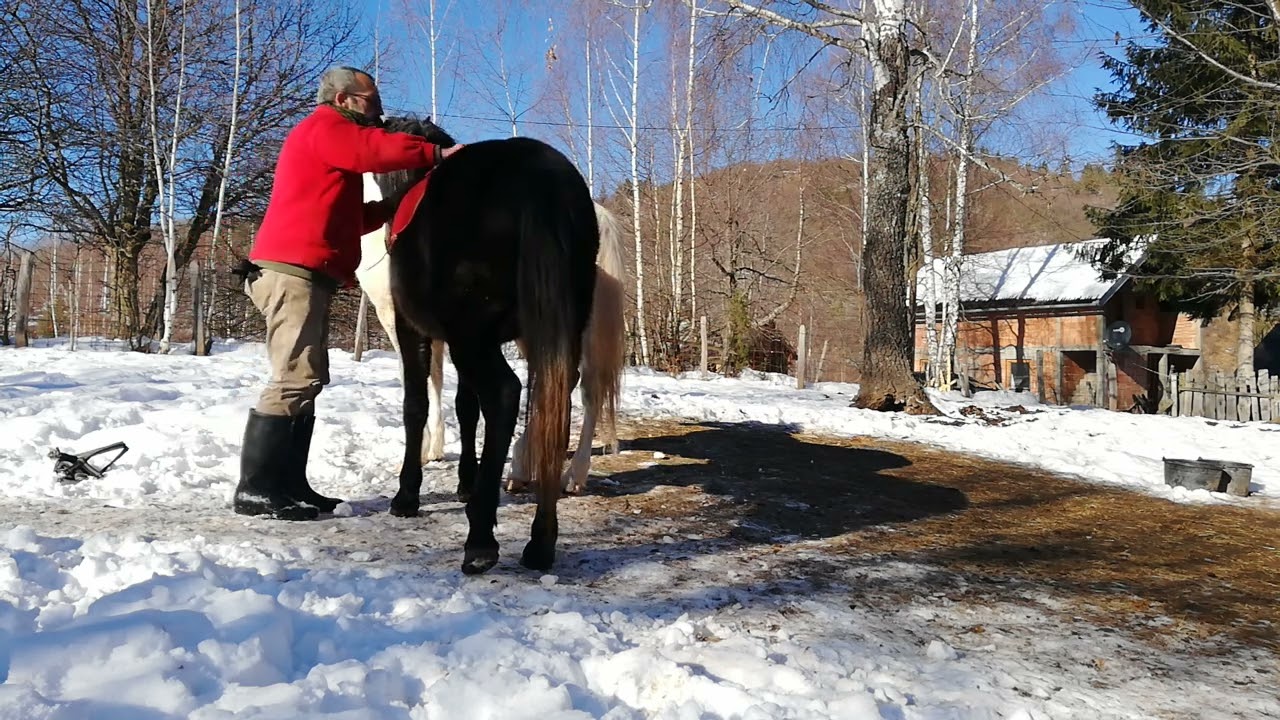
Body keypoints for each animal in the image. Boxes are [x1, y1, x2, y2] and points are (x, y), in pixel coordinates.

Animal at [368, 116, 599, 575]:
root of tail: (539, 173)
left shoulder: (418, 330)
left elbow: (417, 405)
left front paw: (407, 495)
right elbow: (466, 407)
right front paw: (464, 481)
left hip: (471, 336)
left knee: (505, 395)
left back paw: (480, 540)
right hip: (551, 328)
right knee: (555, 400)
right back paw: (540, 541)